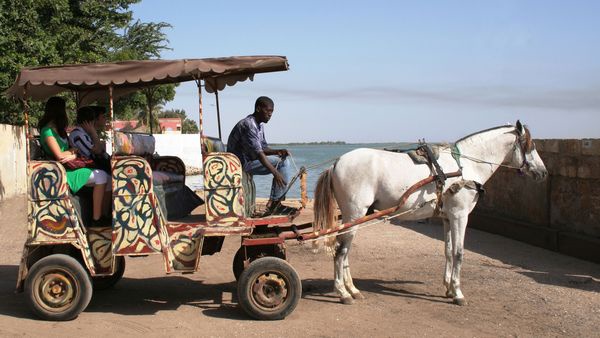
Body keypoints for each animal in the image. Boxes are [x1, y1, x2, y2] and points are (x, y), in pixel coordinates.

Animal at [314, 121, 548, 306]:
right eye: (531, 145)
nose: (543, 172)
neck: (465, 166)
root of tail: (337, 163)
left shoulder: (447, 217)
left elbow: (448, 251)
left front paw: (449, 288)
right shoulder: (460, 216)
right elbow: (459, 253)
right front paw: (458, 293)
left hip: (356, 217)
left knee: (345, 251)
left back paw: (352, 289)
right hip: (354, 214)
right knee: (340, 251)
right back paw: (343, 292)